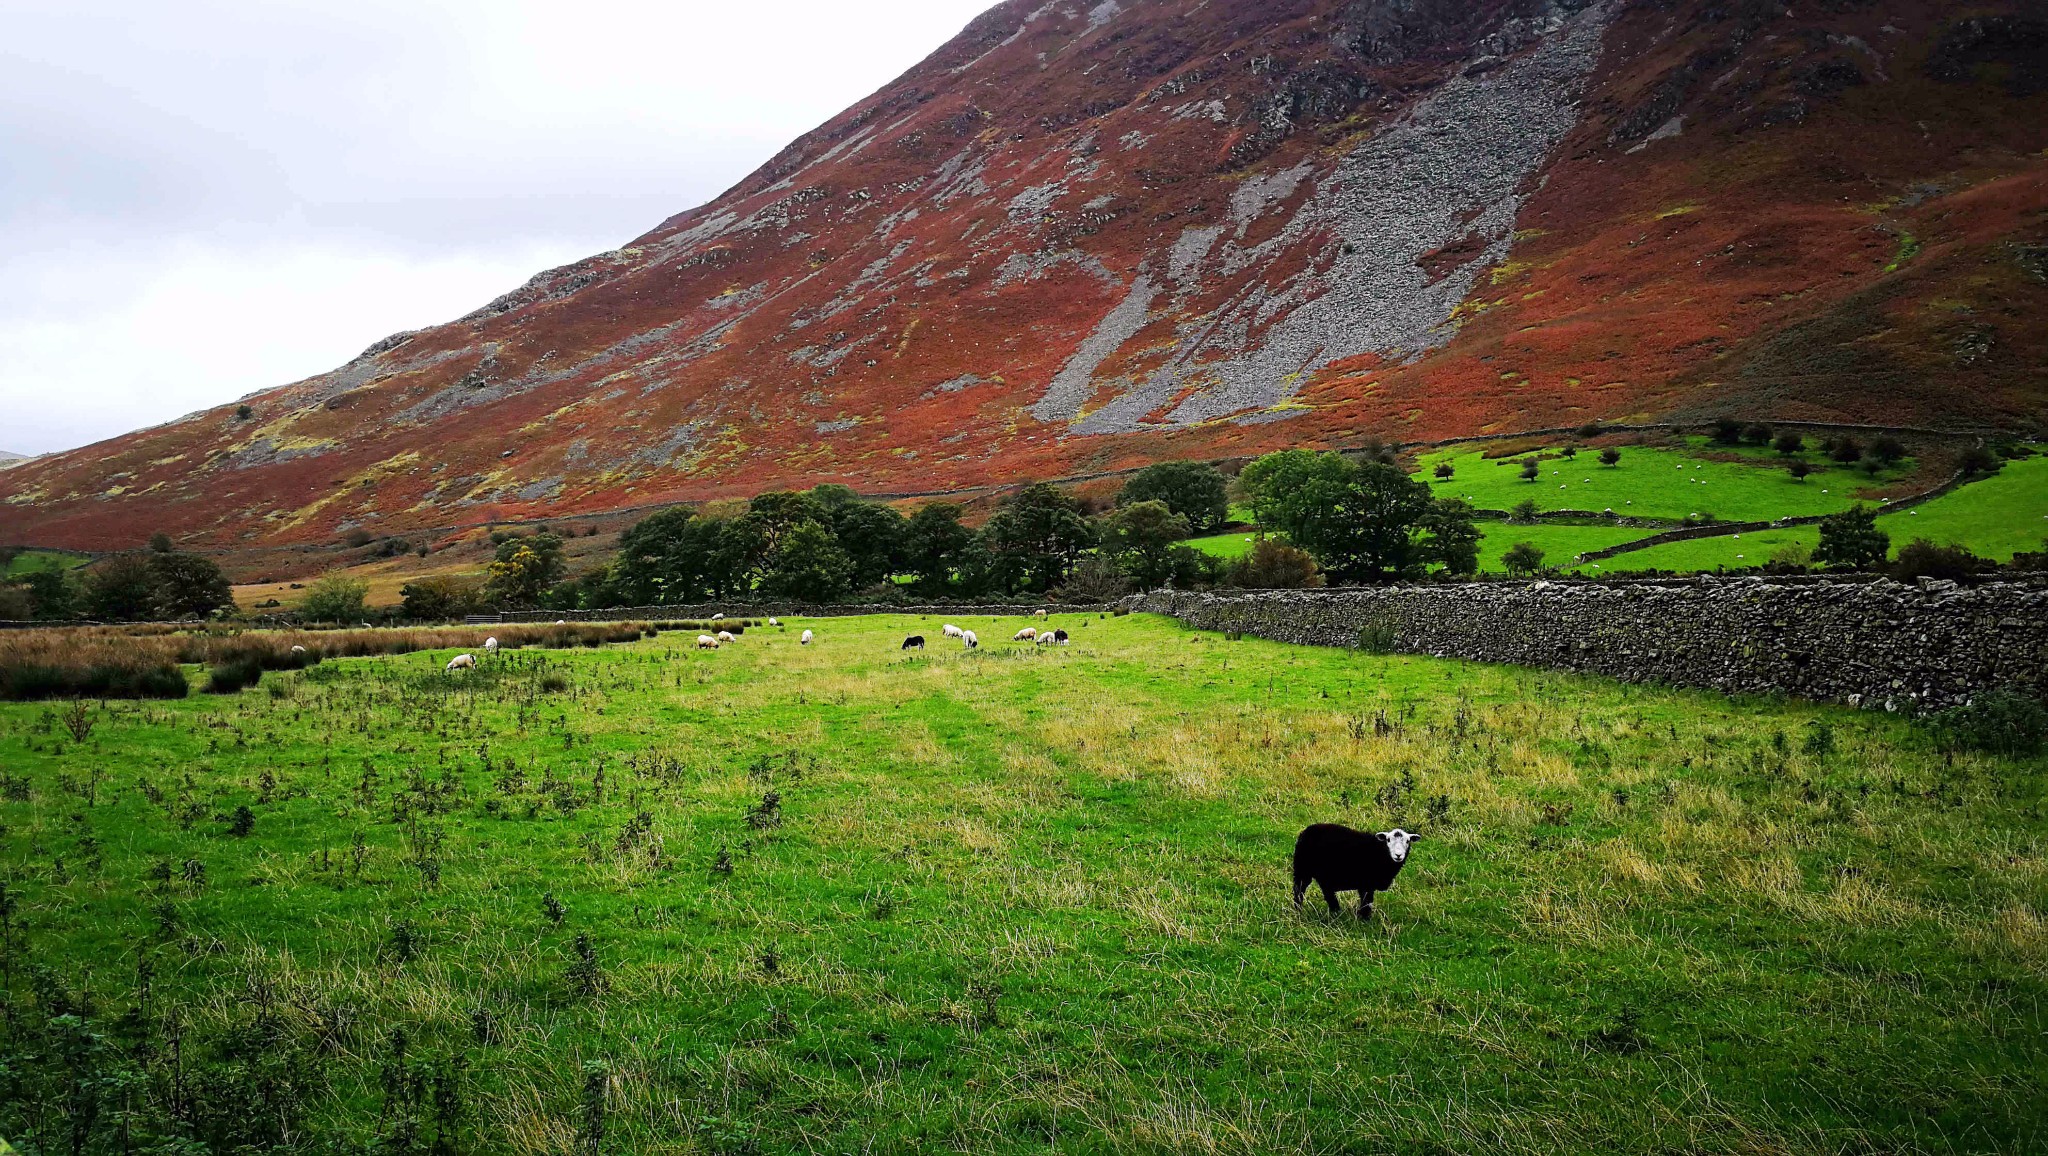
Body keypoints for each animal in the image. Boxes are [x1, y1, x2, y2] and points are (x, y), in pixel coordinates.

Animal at [1286, 819, 1417, 922]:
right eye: (1388, 840)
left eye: (1408, 841)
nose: (1398, 855)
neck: (1380, 852)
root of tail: (1305, 832)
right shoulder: (1366, 884)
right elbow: (1366, 903)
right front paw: (1365, 921)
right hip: (1303, 869)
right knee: (1299, 891)